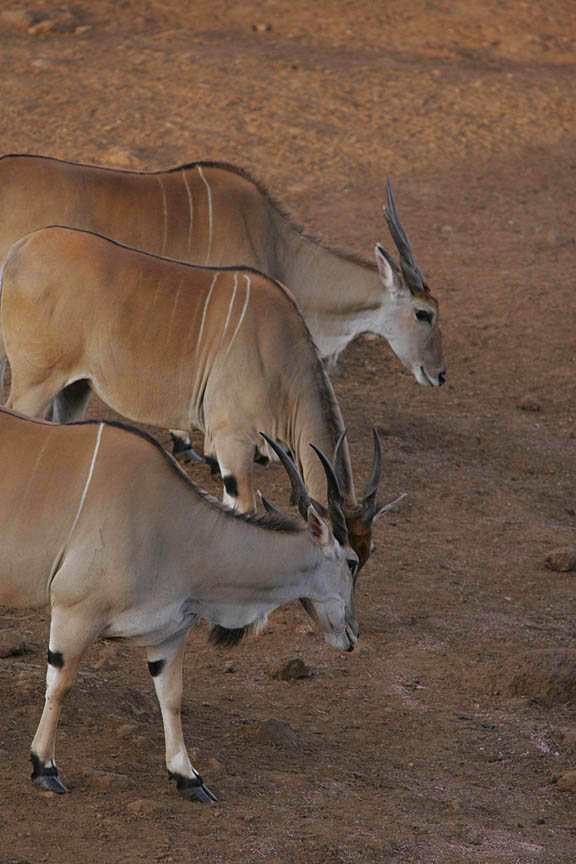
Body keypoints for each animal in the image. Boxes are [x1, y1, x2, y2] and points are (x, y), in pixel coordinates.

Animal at [0, 406, 361, 800]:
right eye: (353, 562)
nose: (353, 634)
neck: (179, 527)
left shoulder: (168, 635)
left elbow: (171, 697)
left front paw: (188, 776)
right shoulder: (74, 612)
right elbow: (60, 685)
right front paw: (44, 767)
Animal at [1, 226, 398, 570]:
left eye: (368, 553)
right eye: (347, 560)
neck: (278, 348)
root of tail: (21, 249)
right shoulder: (232, 442)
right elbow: (244, 509)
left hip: (74, 388)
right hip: (34, 383)